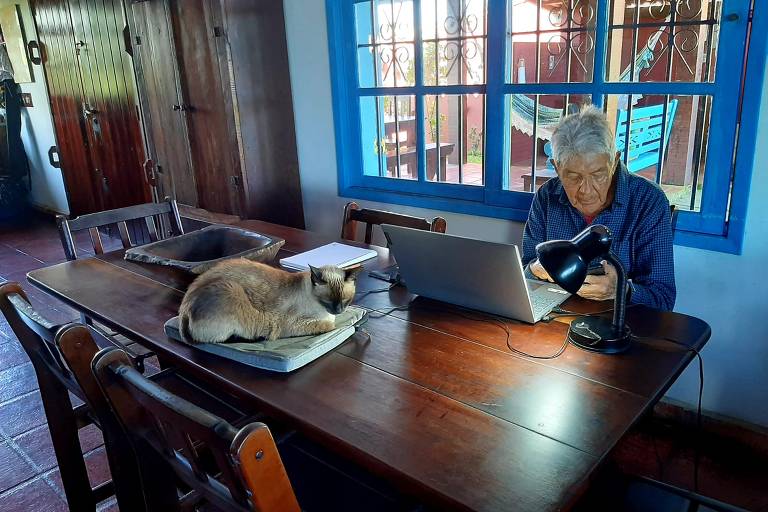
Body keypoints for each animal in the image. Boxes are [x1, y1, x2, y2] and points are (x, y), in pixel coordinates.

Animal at [177, 260, 364, 344]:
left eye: (346, 300)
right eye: (327, 301)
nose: (338, 311)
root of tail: (184, 308)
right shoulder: (292, 324)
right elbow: (330, 325)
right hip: (232, 290)